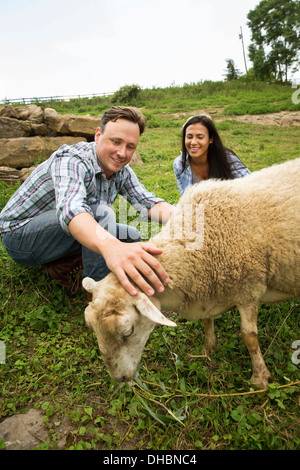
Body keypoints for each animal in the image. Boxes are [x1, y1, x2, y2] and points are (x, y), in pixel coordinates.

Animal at [83, 158, 300, 386]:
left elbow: (249, 336)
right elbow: (207, 321)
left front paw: (260, 377)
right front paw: (208, 349)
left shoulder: (248, 290)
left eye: (128, 332)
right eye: (92, 328)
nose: (120, 378)